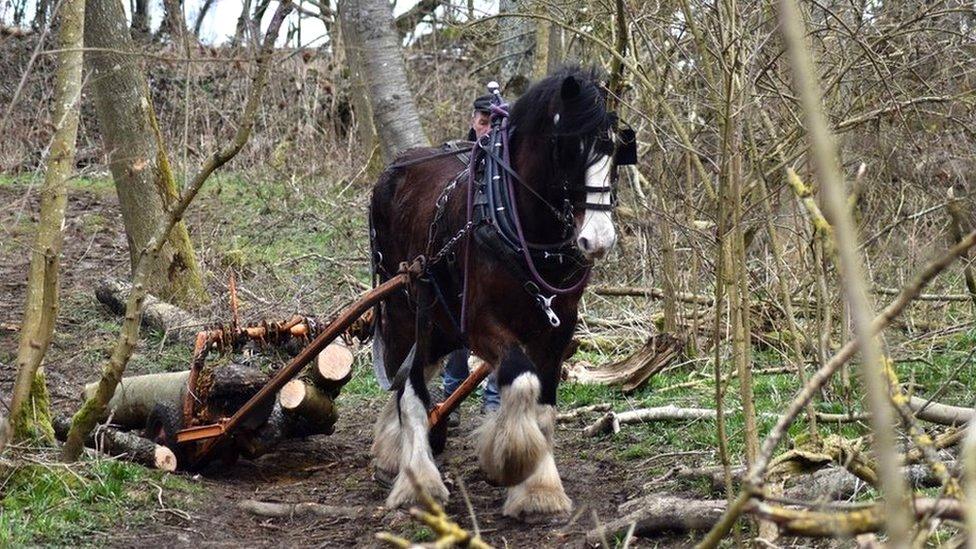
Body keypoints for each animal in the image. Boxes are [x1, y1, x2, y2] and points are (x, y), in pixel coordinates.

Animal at [366, 65, 624, 520]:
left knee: (416, 373)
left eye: (615, 152)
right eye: (568, 149)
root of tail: (394, 168)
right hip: (404, 307)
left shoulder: (558, 328)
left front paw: (539, 487)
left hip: (438, 321)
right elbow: (521, 380)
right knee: (408, 388)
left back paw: (392, 451)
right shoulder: (481, 324)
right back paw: (417, 479)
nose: (599, 239)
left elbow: (544, 405)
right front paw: (513, 462)